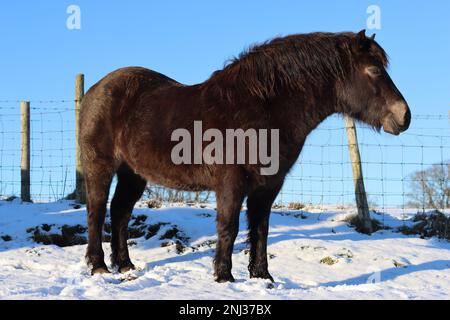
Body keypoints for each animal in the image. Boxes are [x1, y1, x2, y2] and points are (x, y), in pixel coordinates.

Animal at [78, 29, 412, 280]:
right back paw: (98, 266)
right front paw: (224, 277)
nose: (404, 116)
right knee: (96, 211)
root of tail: (96, 89)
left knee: (120, 212)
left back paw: (125, 265)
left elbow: (260, 229)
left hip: (133, 174)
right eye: (374, 70)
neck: (261, 108)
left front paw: (262, 277)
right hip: (100, 167)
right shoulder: (231, 183)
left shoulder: (268, 185)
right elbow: (229, 226)